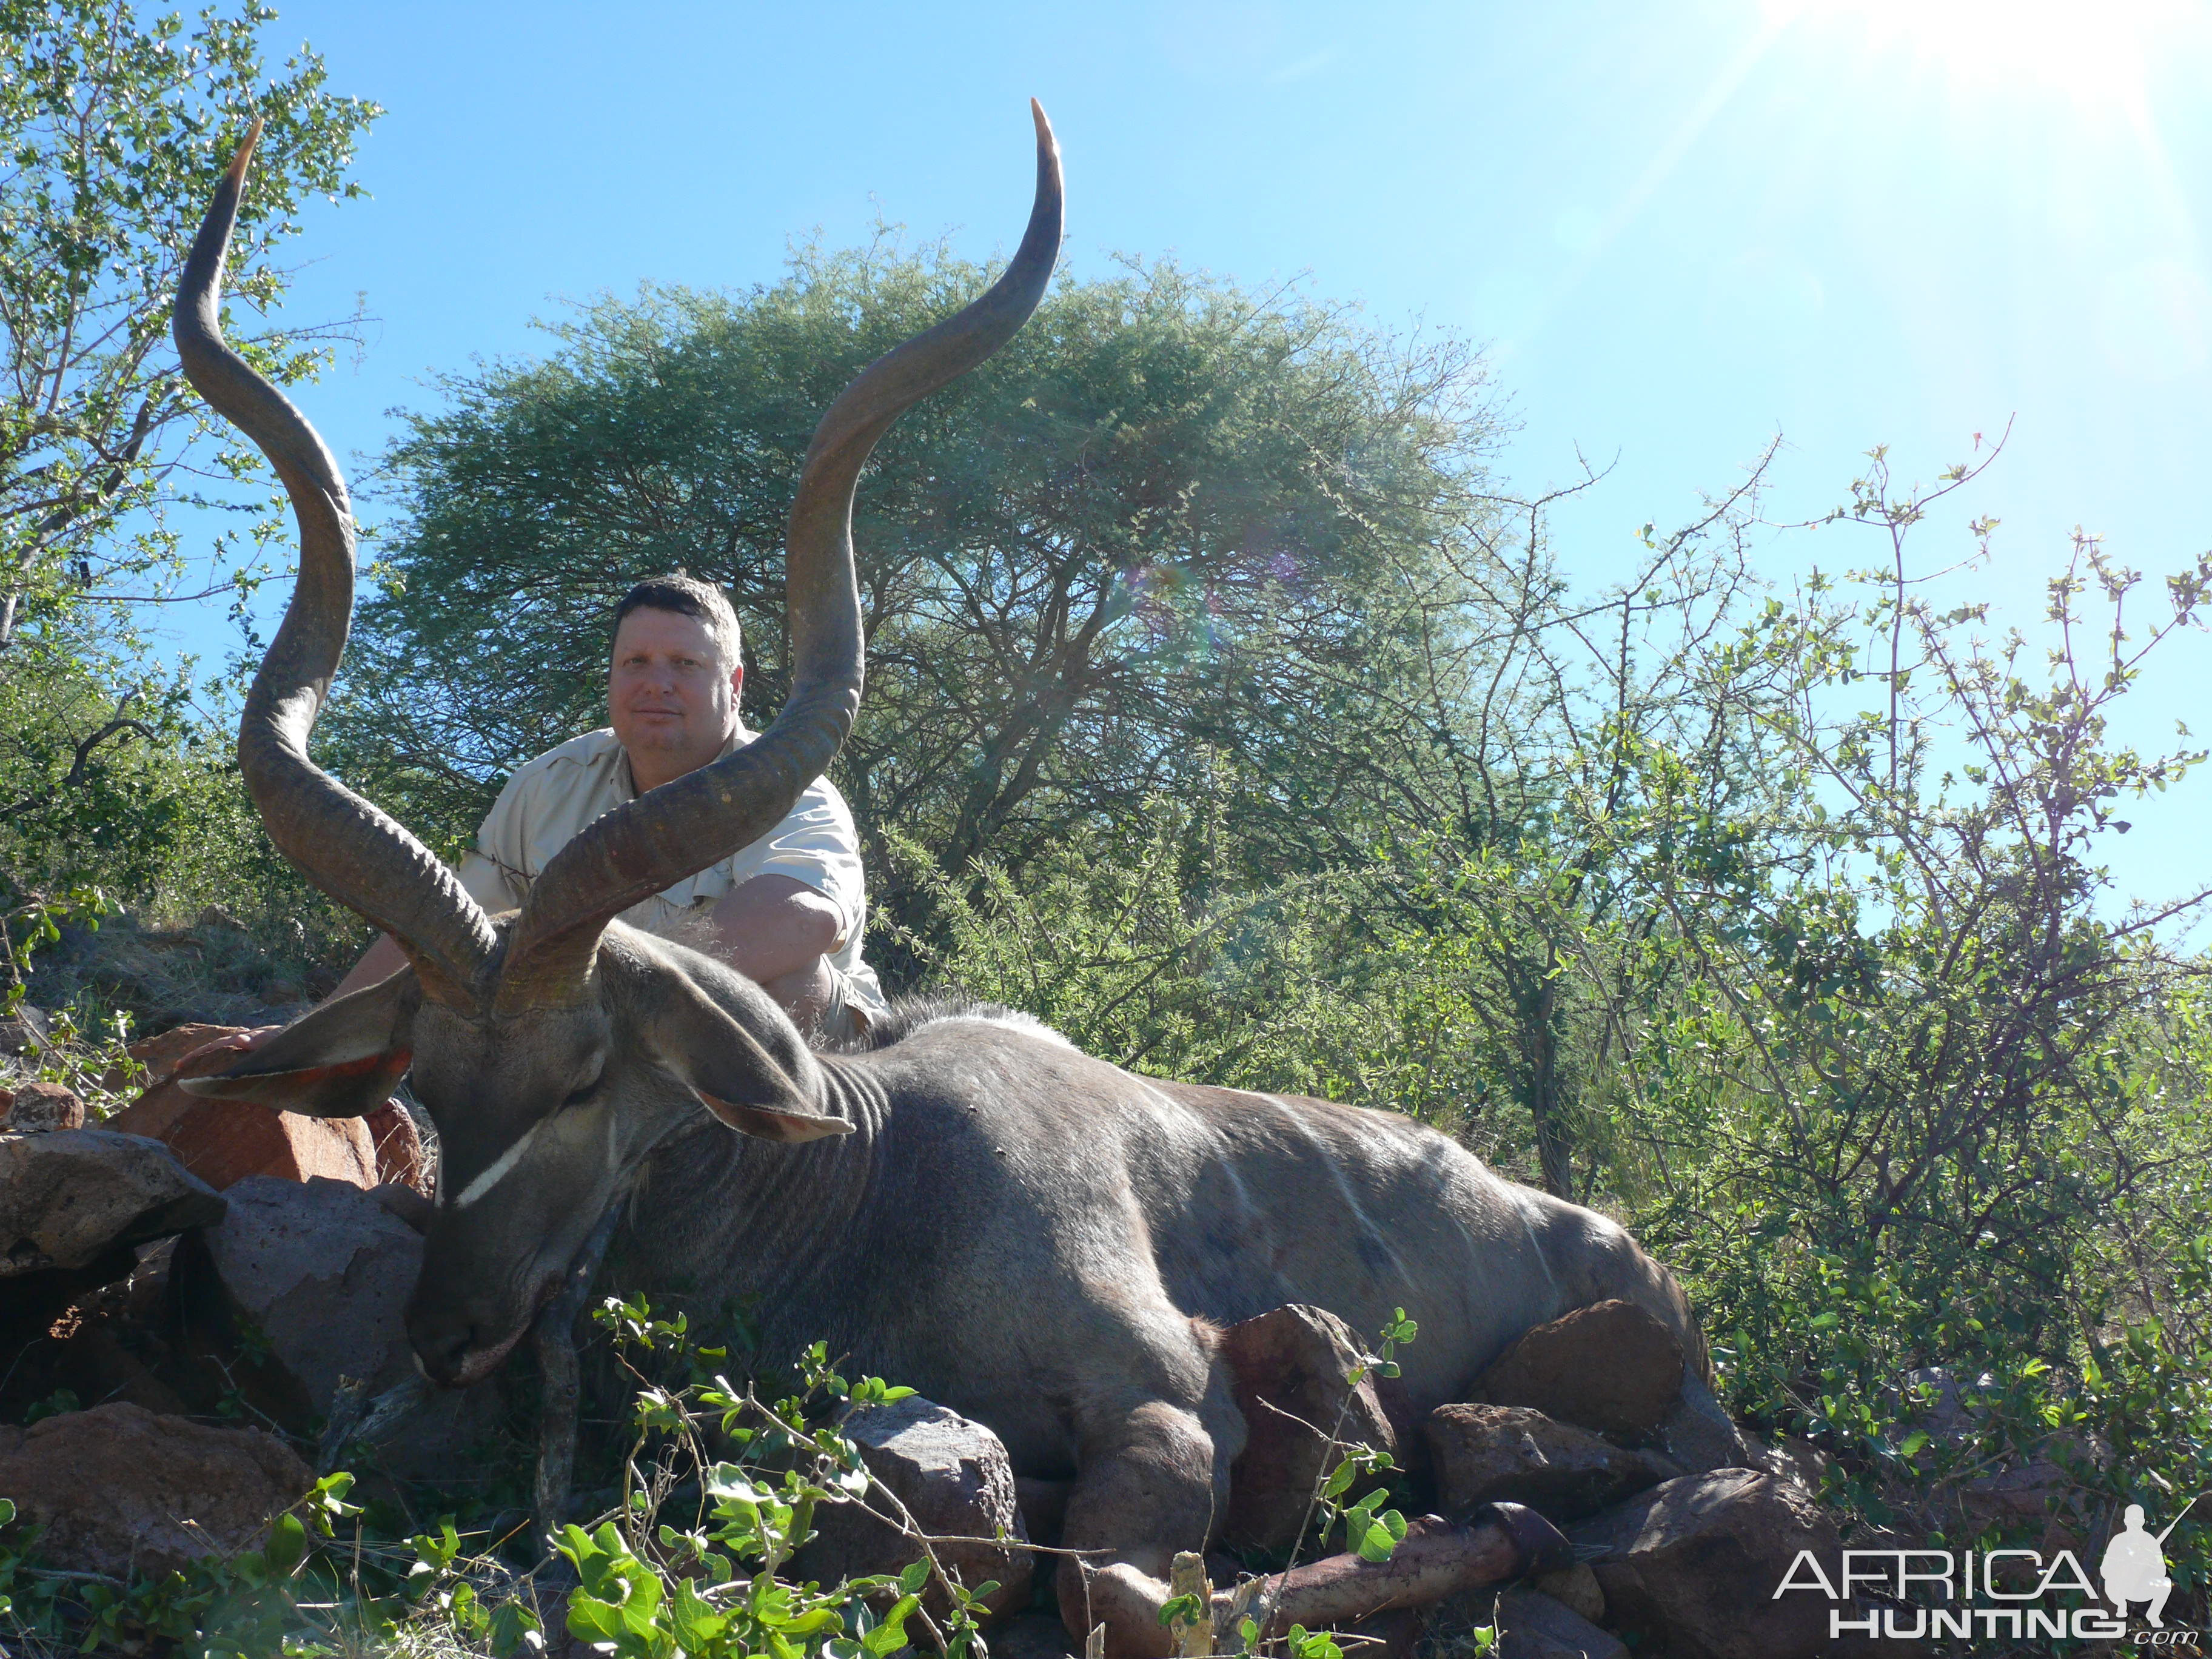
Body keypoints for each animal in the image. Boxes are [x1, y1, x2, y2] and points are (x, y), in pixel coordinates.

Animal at [181, 110, 1708, 1654]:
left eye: (585, 1078)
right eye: (428, 1086)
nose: (449, 1333)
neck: (864, 1172)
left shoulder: (1168, 1396)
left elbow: (1127, 1582)